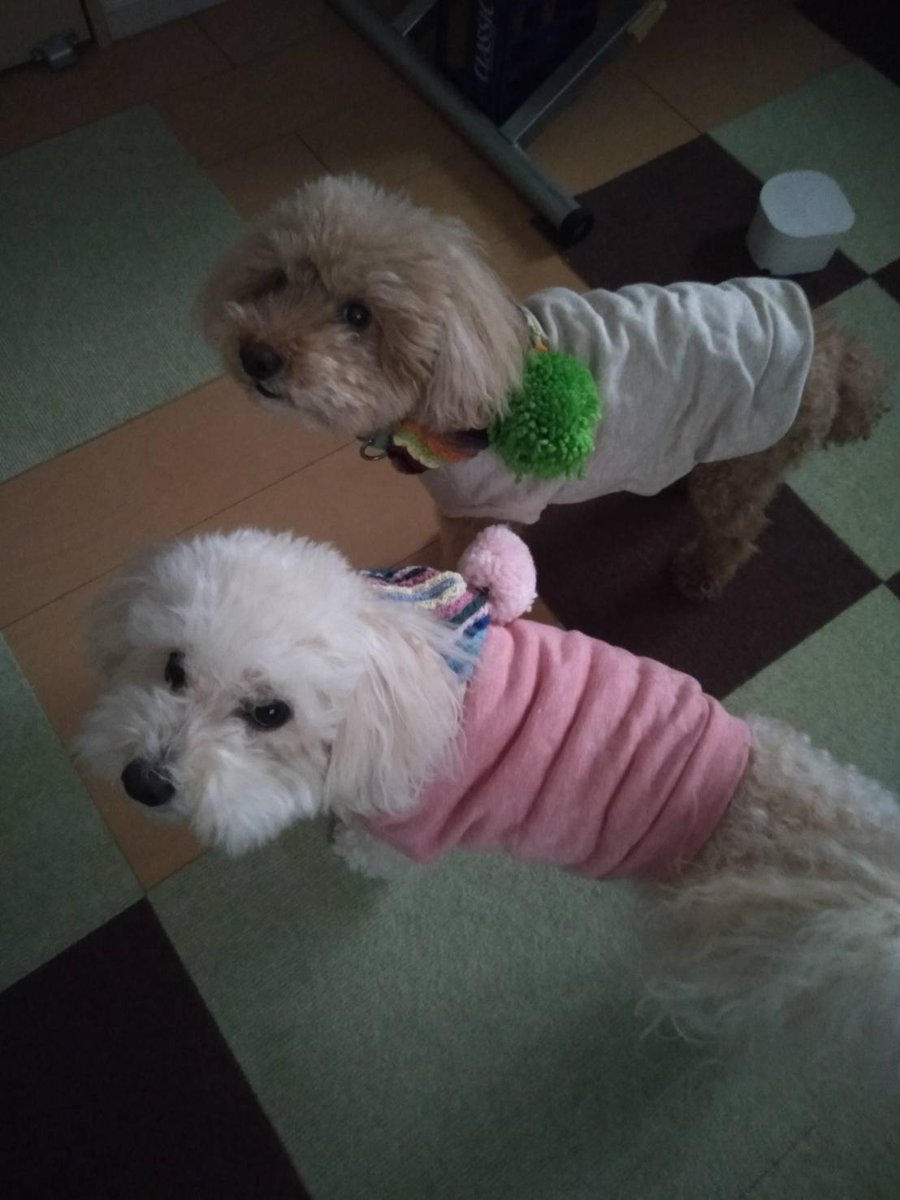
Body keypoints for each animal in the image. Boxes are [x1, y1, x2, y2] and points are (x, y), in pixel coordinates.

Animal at [76, 525, 900, 1077]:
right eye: (173, 668)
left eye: (270, 713)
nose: (144, 782)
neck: (420, 647)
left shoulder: (409, 828)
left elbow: (373, 850)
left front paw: (344, 845)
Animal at [199, 175, 886, 597]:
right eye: (279, 280)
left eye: (359, 315)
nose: (256, 356)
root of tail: (827, 341)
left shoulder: (487, 510)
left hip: (748, 463)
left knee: (738, 531)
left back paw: (700, 573)